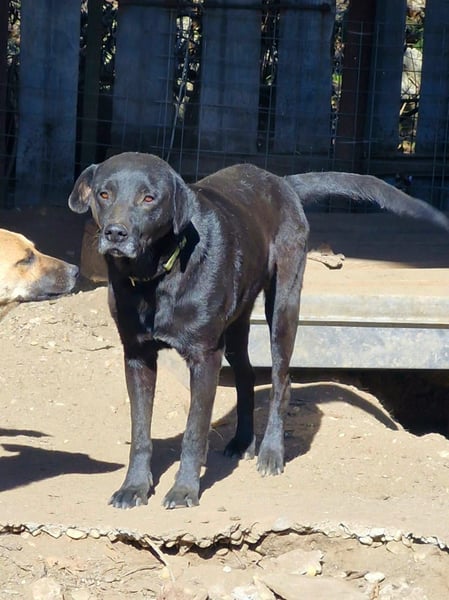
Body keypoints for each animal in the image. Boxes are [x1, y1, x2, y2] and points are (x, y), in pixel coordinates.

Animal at [68, 152, 449, 510]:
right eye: (103, 194)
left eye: (149, 198)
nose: (115, 234)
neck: (155, 276)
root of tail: (282, 182)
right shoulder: (137, 356)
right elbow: (140, 431)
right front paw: (133, 488)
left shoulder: (204, 356)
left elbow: (194, 431)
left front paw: (185, 489)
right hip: (237, 323)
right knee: (247, 375)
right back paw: (242, 441)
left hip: (283, 307)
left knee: (281, 382)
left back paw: (271, 453)